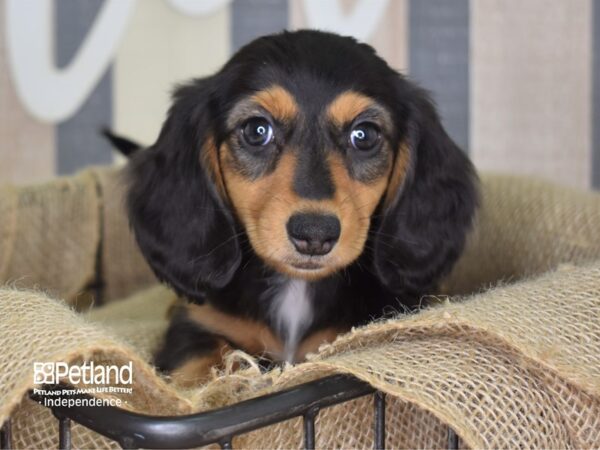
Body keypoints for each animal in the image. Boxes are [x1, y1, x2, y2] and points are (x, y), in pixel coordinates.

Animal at [126, 29, 478, 384]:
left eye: (364, 135)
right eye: (256, 130)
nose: (315, 234)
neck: (296, 289)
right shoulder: (198, 325)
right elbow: (204, 364)